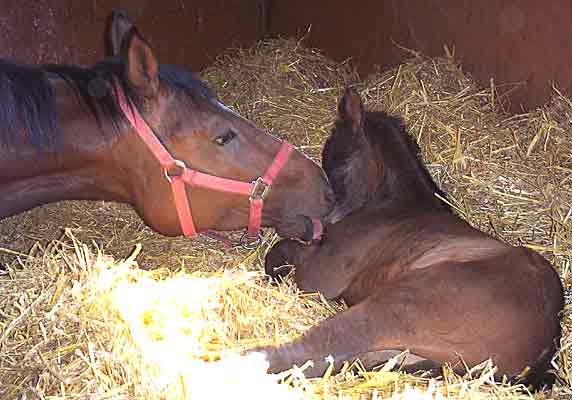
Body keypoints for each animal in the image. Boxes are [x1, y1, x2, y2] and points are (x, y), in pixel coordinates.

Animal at [258, 89, 564, 390]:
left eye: (338, 158)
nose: (323, 223)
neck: (391, 205)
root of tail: (548, 340)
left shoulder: (321, 274)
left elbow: (281, 250)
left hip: (396, 307)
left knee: (317, 346)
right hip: (404, 350)